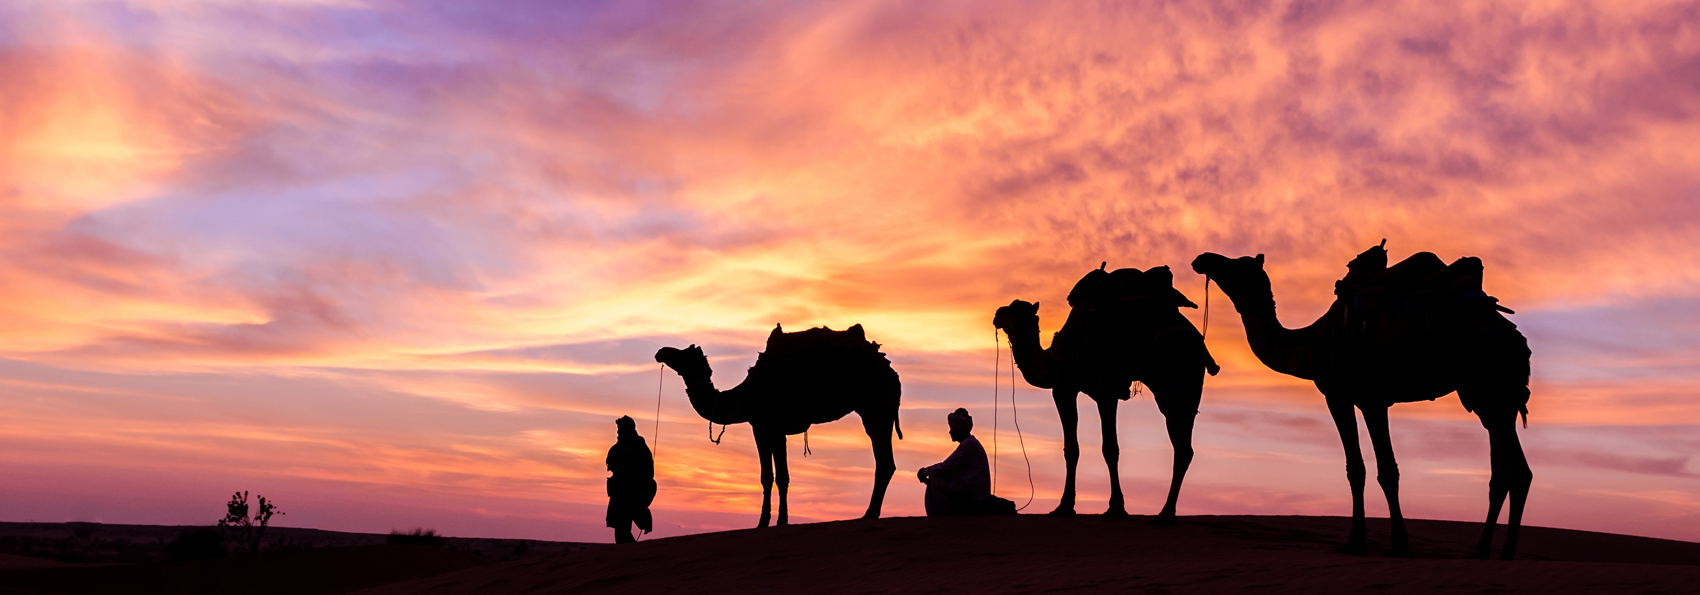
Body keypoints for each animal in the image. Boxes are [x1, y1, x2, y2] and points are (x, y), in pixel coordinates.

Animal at [649, 324, 904, 523]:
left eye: (683, 354)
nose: (660, 352)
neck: (743, 396)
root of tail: (890, 370)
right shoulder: (768, 429)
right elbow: (773, 477)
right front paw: (772, 520)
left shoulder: (769, 426)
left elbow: (775, 476)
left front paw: (772, 521)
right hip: (883, 410)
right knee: (887, 462)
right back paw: (871, 512)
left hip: (875, 407)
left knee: (883, 461)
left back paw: (869, 514)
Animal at [992, 263, 1217, 520]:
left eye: (1010, 310)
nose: (996, 313)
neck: (1051, 360)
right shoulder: (1100, 392)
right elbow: (1107, 448)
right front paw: (1113, 506)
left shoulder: (1072, 387)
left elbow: (1085, 448)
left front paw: (1071, 506)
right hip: (1185, 382)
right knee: (1183, 444)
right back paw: (1166, 513)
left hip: (1167, 376)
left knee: (1181, 442)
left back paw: (1165, 512)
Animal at [1190, 244, 1536, 561]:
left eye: (1237, 265)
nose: (1202, 258)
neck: (1308, 346)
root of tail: (1516, 338)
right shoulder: (1358, 398)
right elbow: (1362, 469)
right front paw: (1364, 541)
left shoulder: (1354, 397)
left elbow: (1375, 470)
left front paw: (1385, 544)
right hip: (1488, 397)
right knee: (1499, 475)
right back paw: (1480, 550)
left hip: (1491, 387)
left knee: (1519, 472)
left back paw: (1507, 553)